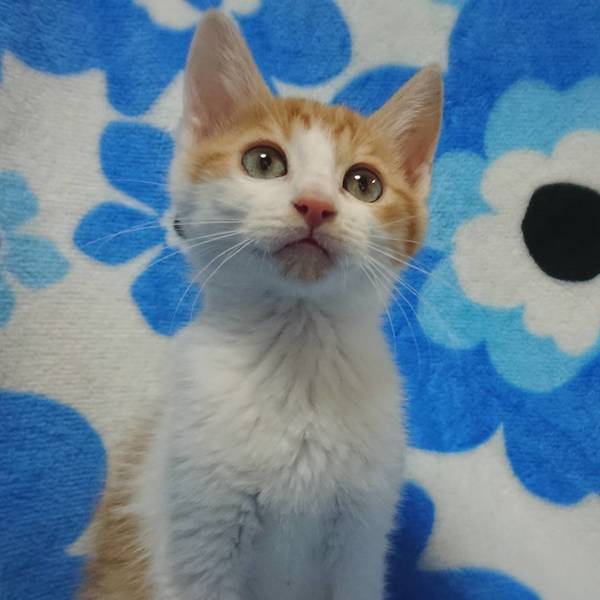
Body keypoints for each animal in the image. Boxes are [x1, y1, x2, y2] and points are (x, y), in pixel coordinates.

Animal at [81, 10, 442, 600]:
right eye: (264, 161)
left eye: (364, 183)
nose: (315, 204)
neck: (295, 355)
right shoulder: (201, 534)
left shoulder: (361, 539)